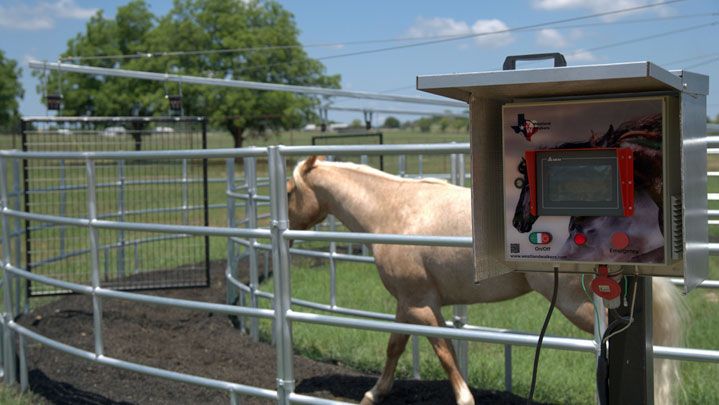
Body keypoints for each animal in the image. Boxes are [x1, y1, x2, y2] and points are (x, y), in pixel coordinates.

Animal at [286, 156, 683, 405]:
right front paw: (374, 394)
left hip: (577, 305)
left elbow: (444, 350)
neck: (392, 211)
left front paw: (464, 397)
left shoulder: (421, 306)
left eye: (289, 191)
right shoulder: (409, 302)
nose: (288, 235)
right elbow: (395, 347)